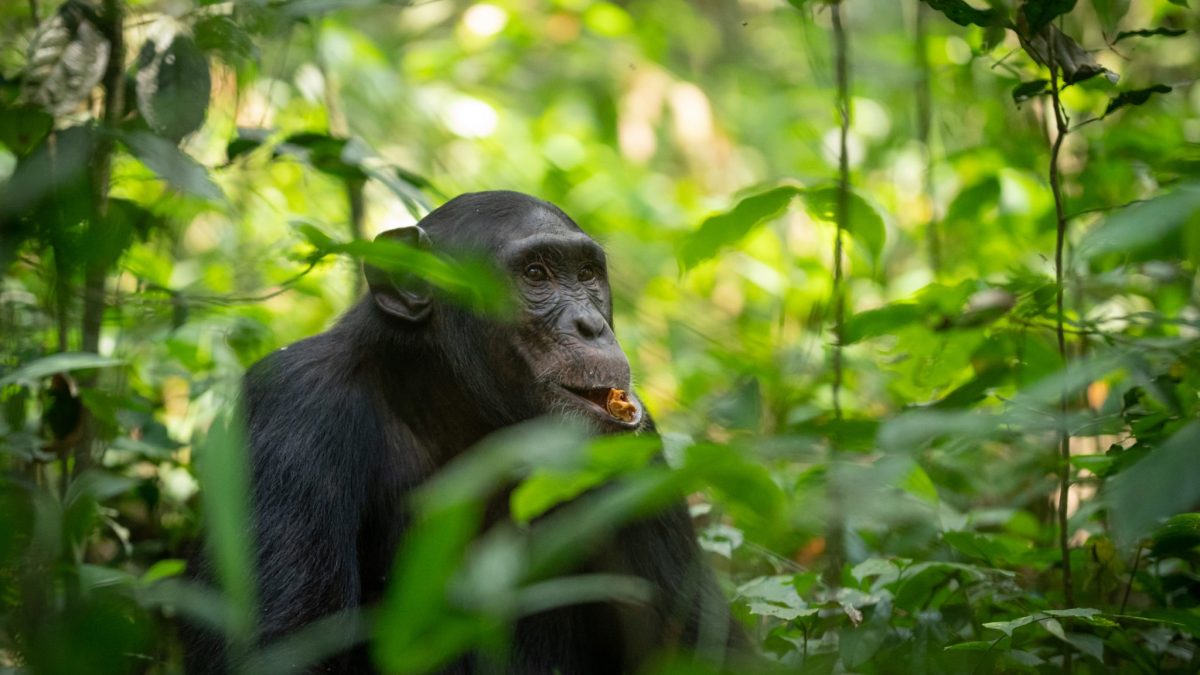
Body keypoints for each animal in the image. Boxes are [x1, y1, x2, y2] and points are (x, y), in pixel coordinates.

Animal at [184, 189, 748, 672]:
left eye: (588, 274)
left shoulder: (636, 450)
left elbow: (698, 646)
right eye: (537, 273)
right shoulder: (294, 405)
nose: (592, 325)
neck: (455, 414)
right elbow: (284, 650)